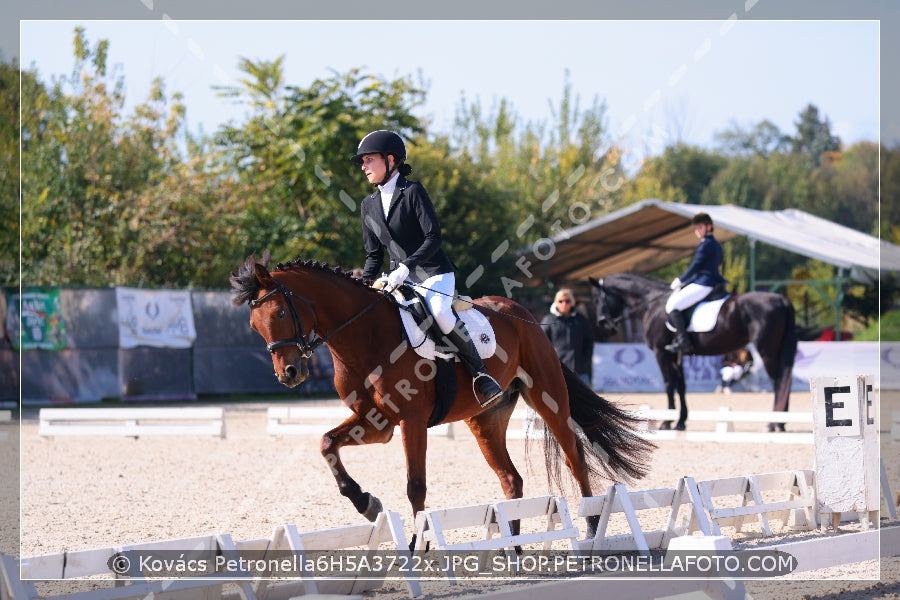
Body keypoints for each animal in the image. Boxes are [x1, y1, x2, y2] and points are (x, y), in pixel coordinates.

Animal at [232, 253, 652, 540]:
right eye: (254, 323)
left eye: (281, 313)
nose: (289, 374)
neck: (364, 336)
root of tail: (525, 314)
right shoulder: (378, 423)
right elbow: (326, 443)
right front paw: (366, 503)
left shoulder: (411, 421)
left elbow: (415, 485)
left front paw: (417, 546)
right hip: (485, 419)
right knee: (511, 478)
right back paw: (512, 547)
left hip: (547, 396)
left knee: (574, 455)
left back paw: (592, 527)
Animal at [596, 272, 800, 432]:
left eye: (598, 299)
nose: (602, 325)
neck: (651, 304)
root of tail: (781, 299)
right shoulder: (677, 354)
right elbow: (681, 386)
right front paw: (680, 422)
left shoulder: (662, 353)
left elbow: (669, 384)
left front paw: (667, 422)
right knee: (784, 381)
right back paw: (781, 423)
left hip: (767, 351)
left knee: (778, 382)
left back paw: (774, 423)